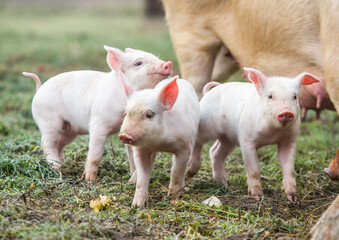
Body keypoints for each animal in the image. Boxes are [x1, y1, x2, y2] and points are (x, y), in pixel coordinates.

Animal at [22, 46, 174, 183]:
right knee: (47, 144)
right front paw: (90, 181)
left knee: (58, 144)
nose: (168, 63)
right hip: (49, 121)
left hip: (69, 130)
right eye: (138, 63)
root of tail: (39, 90)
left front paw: (131, 180)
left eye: (154, 56)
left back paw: (64, 164)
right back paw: (58, 170)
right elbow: (95, 154)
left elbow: (132, 157)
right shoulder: (98, 124)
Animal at [118, 74, 201, 206]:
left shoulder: (185, 147)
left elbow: (176, 174)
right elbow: (142, 177)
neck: (160, 143)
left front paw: (173, 200)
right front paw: (136, 205)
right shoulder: (141, 150)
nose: (124, 135)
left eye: (149, 115)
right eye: (126, 113)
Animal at [189, 67, 322, 201]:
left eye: (294, 97)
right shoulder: (247, 140)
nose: (286, 112)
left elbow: (289, 169)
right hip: (207, 126)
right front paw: (257, 196)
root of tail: (210, 92)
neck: (273, 133)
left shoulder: (289, 141)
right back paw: (191, 172)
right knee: (197, 141)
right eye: (270, 96)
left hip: (229, 139)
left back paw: (223, 183)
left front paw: (292, 198)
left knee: (215, 152)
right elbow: (254, 170)